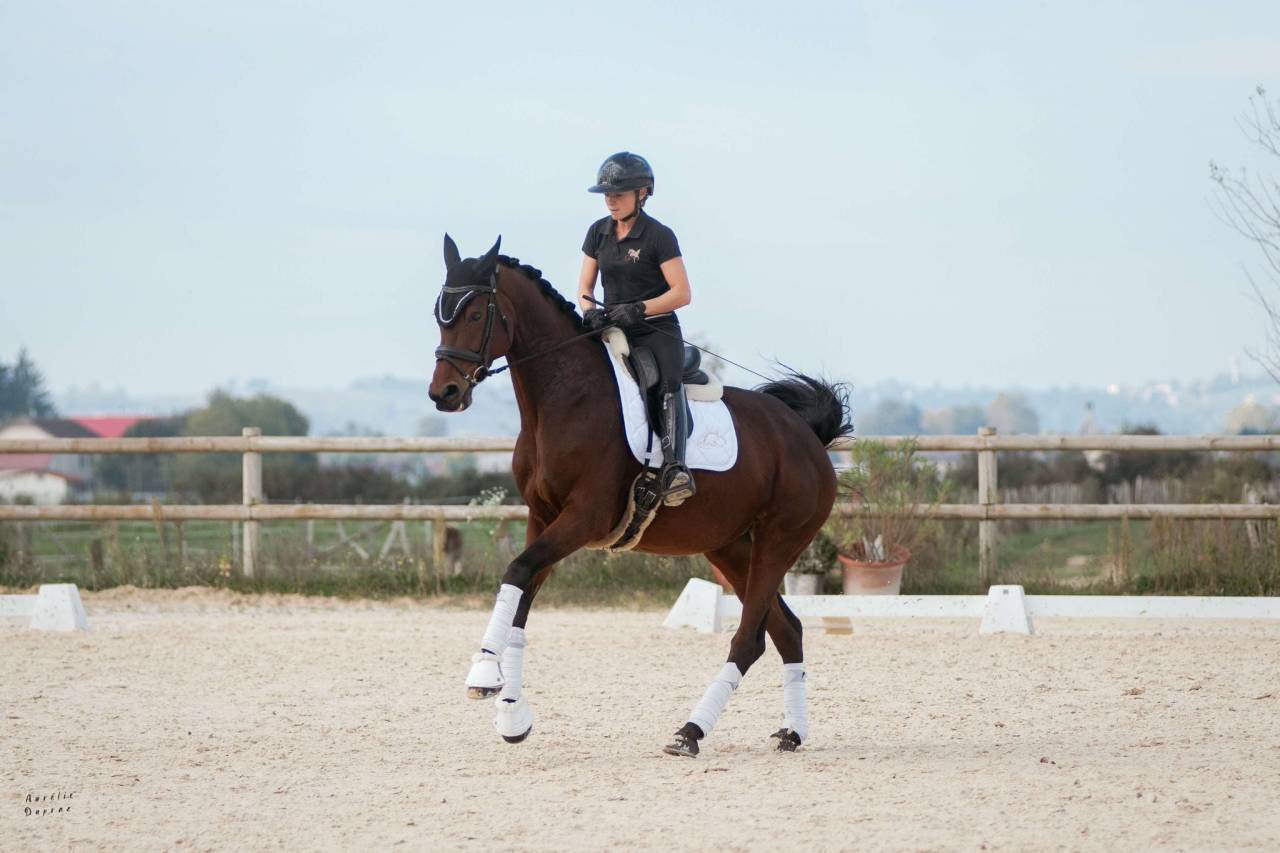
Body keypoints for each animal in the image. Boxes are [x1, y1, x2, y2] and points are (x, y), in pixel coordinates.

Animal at [428, 235, 852, 757]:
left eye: (473, 314)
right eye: (439, 313)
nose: (444, 393)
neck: (562, 401)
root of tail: (806, 434)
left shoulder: (584, 518)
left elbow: (517, 571)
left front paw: (484, 673)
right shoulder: (542, 518)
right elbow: (521, 600)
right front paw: (512, 715)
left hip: (779, 540)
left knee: (748, 640)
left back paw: (689, 732)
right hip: (730, 548)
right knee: (786, 630)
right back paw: (790, 732)